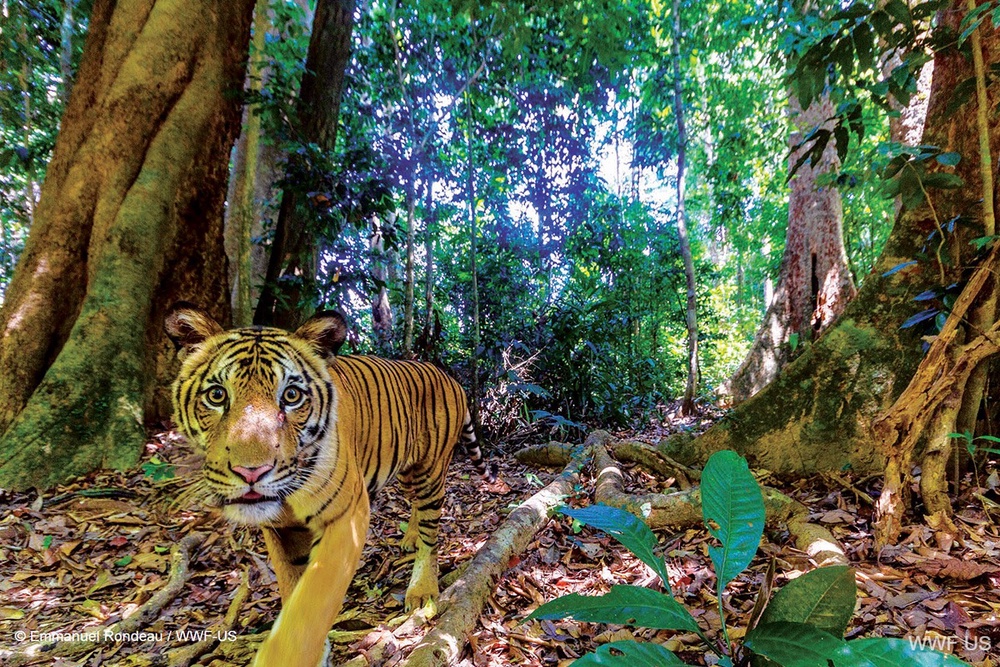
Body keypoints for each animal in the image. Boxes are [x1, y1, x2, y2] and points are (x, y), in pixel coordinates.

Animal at [164, 303, 487, 667]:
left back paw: (422, 590)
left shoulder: (346, 516)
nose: (251, 472)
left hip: (431, 471)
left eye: (291, 396)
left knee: (431, 533)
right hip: (406, 470)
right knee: (416, 505)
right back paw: (410, 538)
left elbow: (314, 597)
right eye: (217, 395)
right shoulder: (278, 530)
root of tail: (448, 376)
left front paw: (286, 655)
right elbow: (292, 588)